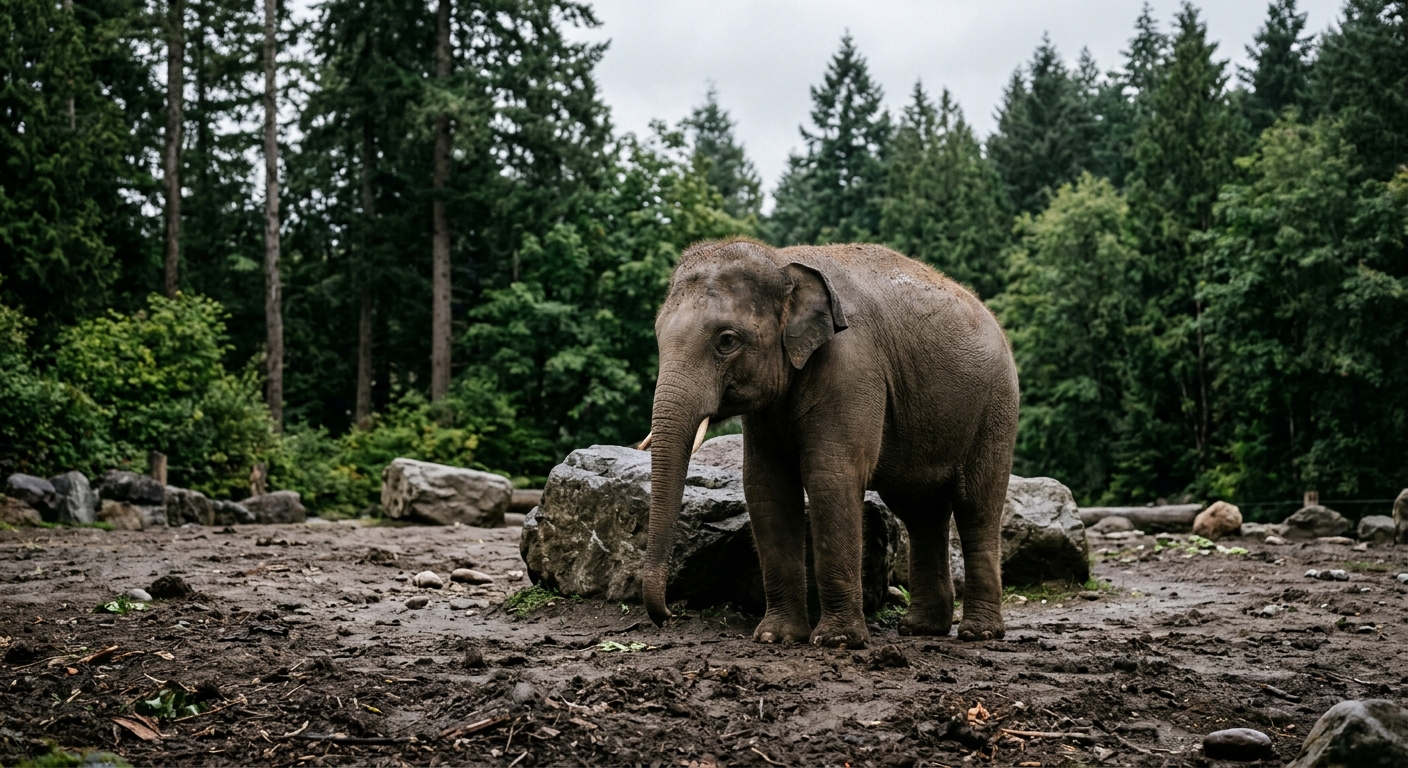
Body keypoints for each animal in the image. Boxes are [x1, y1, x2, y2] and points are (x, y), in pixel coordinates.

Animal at [641, 238, 1019, 647]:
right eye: (658, 337)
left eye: (727, 340)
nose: (669, 616)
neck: (781, 262)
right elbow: (766, 487)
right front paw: (776, 637)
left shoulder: (852, 366)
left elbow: (830, 477)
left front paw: (837, 641)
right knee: (920, 511)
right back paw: (921, 628)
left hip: (995, 409)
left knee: (976, 505)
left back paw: (978, 633)